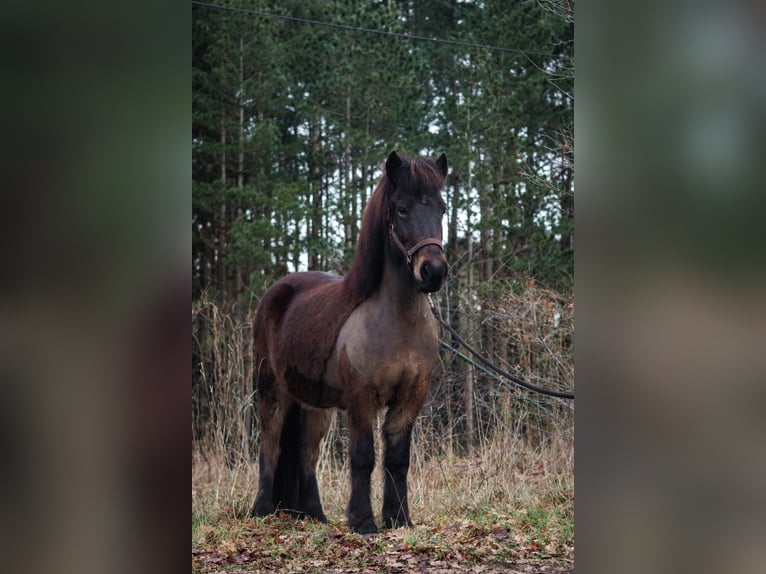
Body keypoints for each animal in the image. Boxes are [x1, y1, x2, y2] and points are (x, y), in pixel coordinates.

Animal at [250, 150, 448, 535]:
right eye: (402, 209)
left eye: (443, 208)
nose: (433, 271)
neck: (396, 321)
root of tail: (276, 292)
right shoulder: (361, 398)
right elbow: (363, 457)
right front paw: (363, 522)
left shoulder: (410, 397)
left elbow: (398, 459)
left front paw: (399, 519)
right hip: (270, 391)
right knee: (270, 445)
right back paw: (261, 512)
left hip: (314, 405)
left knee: (306, 452)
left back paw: (314, 514)